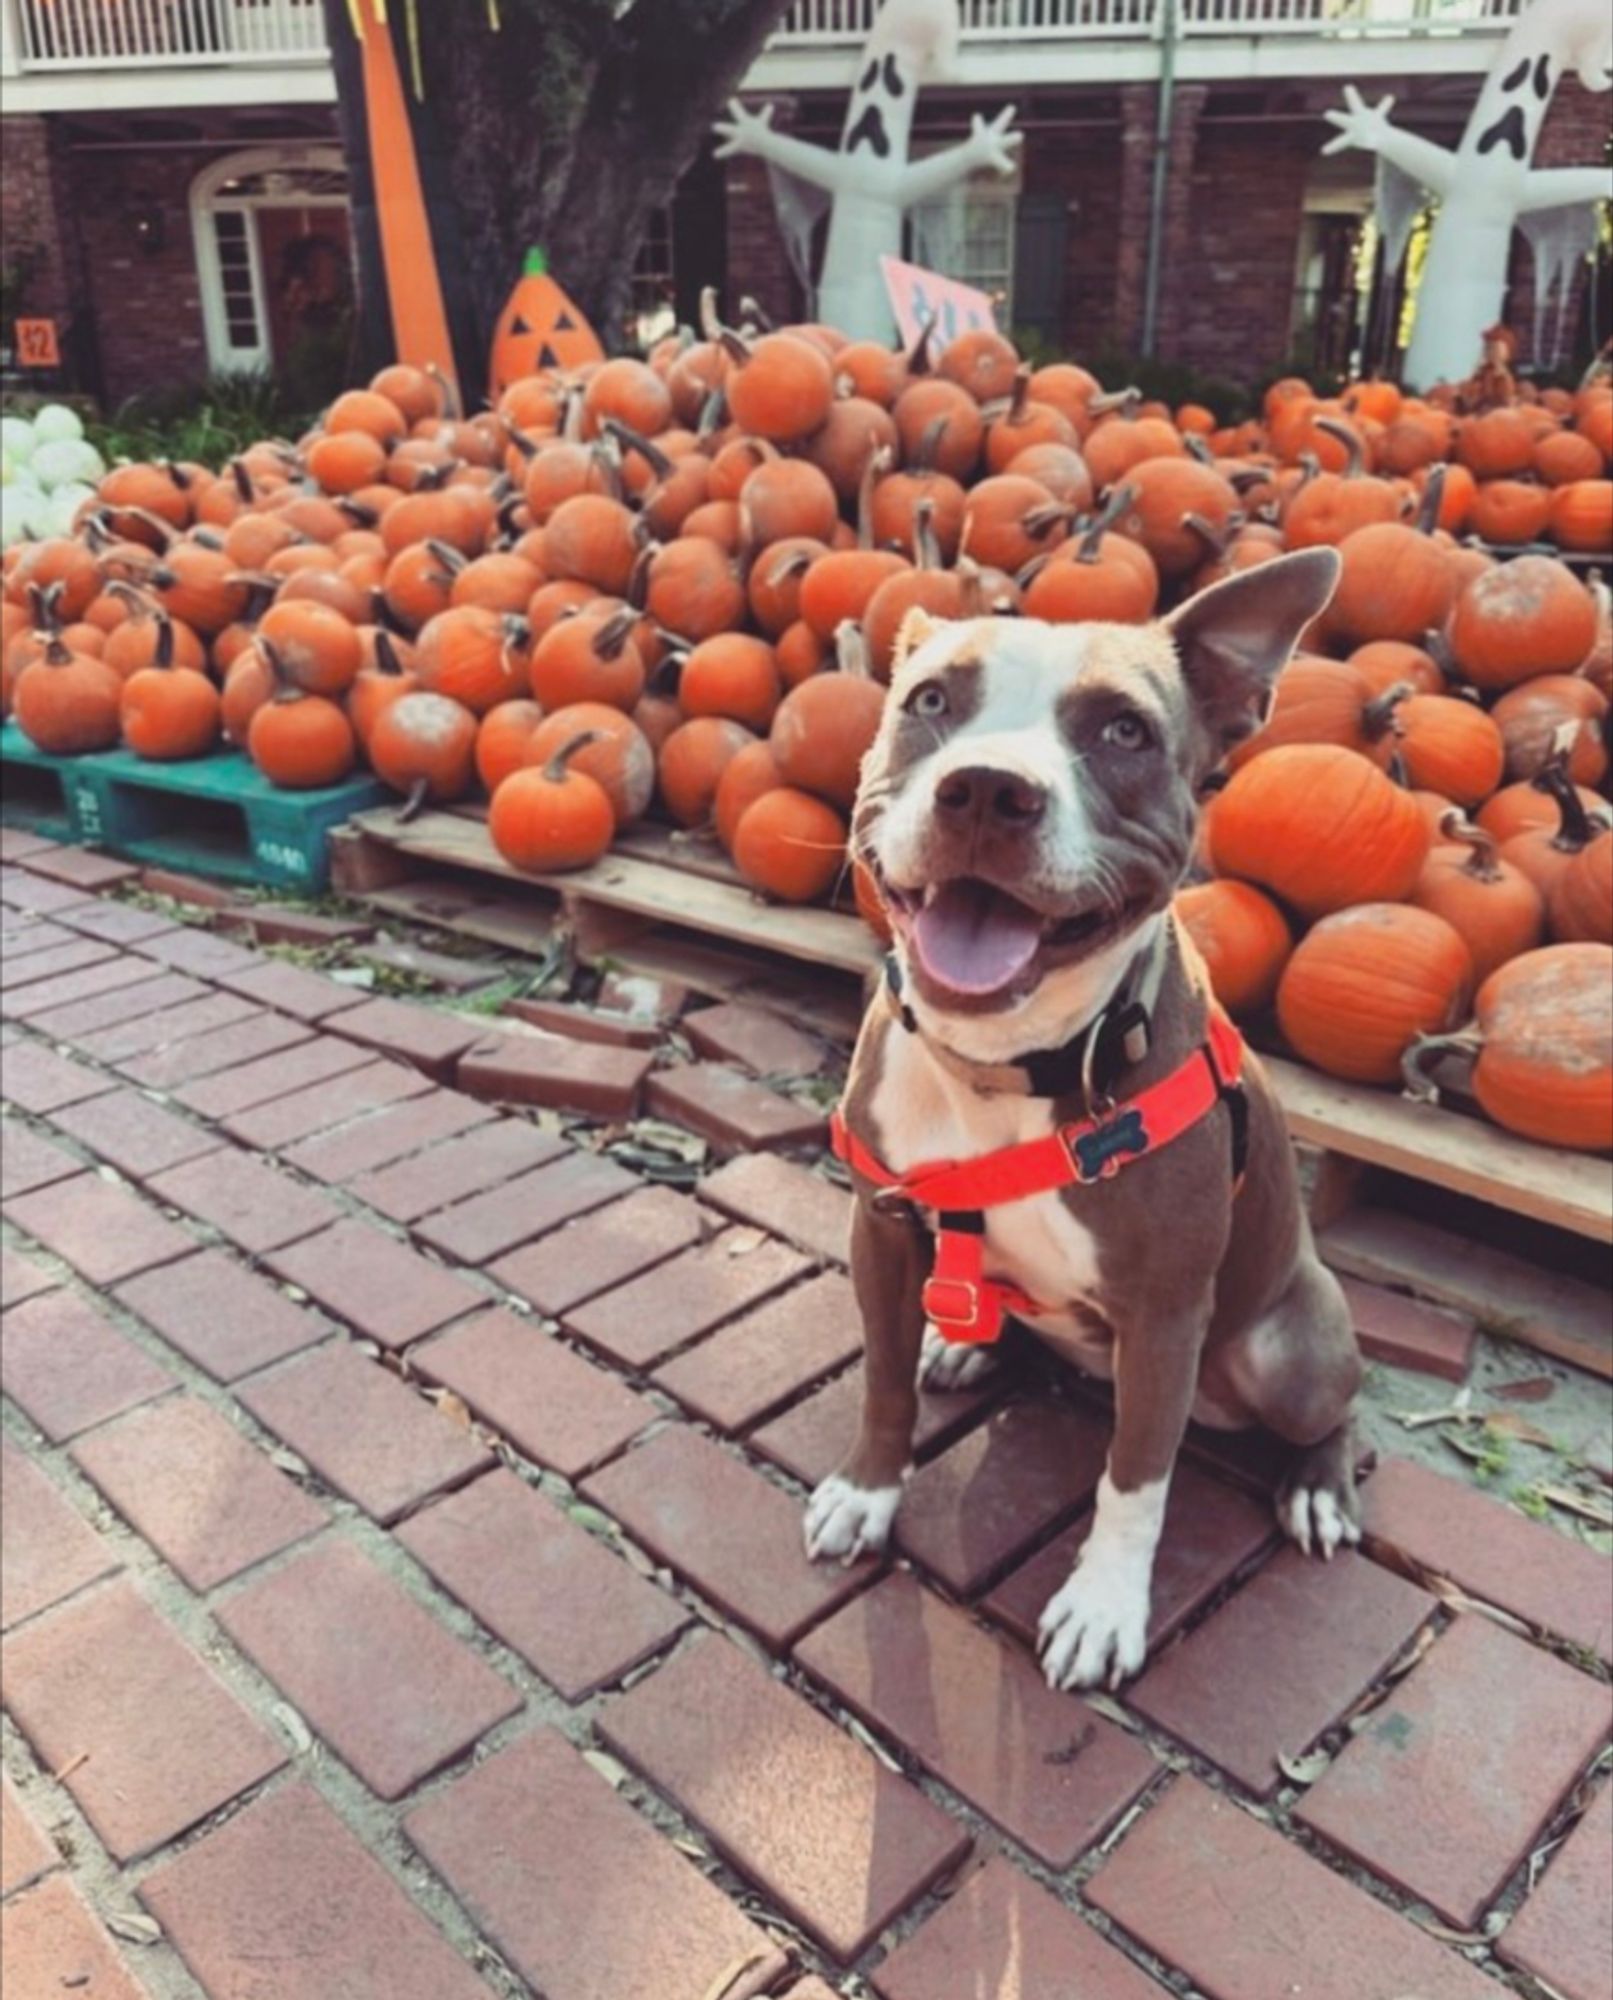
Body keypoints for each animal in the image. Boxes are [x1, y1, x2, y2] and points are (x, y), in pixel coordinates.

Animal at [808, 544, 1360, 1688]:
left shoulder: (1162, 1313)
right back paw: (965, 1346)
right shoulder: (879, 1227)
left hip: (1285, 1348)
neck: (1003, 1069)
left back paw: (1318, 1488)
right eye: (931, 701)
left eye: (1123, 732)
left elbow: (1135, 1479)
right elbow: (880, 1379)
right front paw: (867, 1490)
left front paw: (1103, 1607)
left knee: (1332, 1409)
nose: (985, 789)